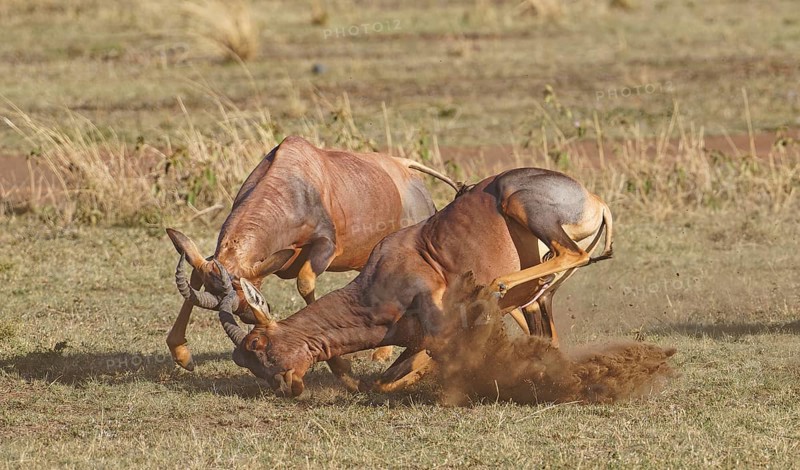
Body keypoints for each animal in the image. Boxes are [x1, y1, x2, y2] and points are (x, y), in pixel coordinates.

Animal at [166, 136, 460, 382]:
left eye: (241, 298)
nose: (254, 314)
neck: (294, 180)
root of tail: (405, 167)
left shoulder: (325, 246)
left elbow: (305, 282)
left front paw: (341, 368)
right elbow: (194, 277)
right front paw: (182, 356)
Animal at [205, 167, 613, 396]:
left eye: (257, 344)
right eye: (244, 361)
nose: (287, 388)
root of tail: (594, 199)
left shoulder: (440, 327)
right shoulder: (419, 341)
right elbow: (383, 381)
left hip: (520, 205)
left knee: (574, 253)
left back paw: (499, 284)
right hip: (540, 298)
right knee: (550, 332)